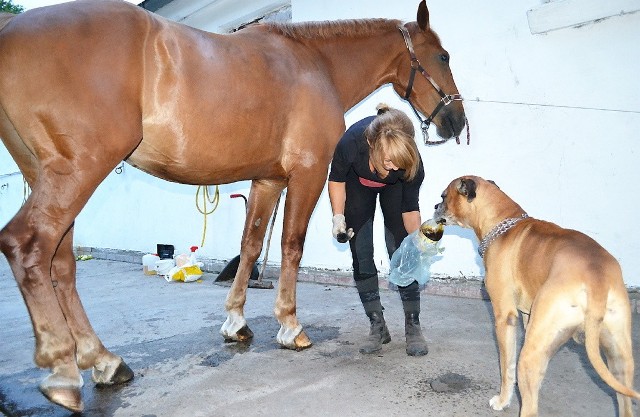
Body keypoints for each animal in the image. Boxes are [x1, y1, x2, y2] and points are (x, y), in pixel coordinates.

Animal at [0, 0, 462, 410]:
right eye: (442, 55)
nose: (456, 121)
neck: (315, 65)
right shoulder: (308, 174)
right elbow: (290, 245)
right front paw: (290, 326)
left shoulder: (267, 179)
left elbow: (252, 245)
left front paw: (236, 323)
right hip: (78, 172)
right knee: (28, 246)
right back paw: (63, 370)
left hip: (43, 173)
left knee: (61, 263)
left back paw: (104, 362)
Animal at [432, 175, 636, 416]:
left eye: (444, 196)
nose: (435, 207)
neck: (502, 222)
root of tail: (596, 278)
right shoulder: (528, 317)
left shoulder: (505, 318)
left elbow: (506, 366)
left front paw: (503, 399)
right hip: (620, 362)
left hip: (531, 354)